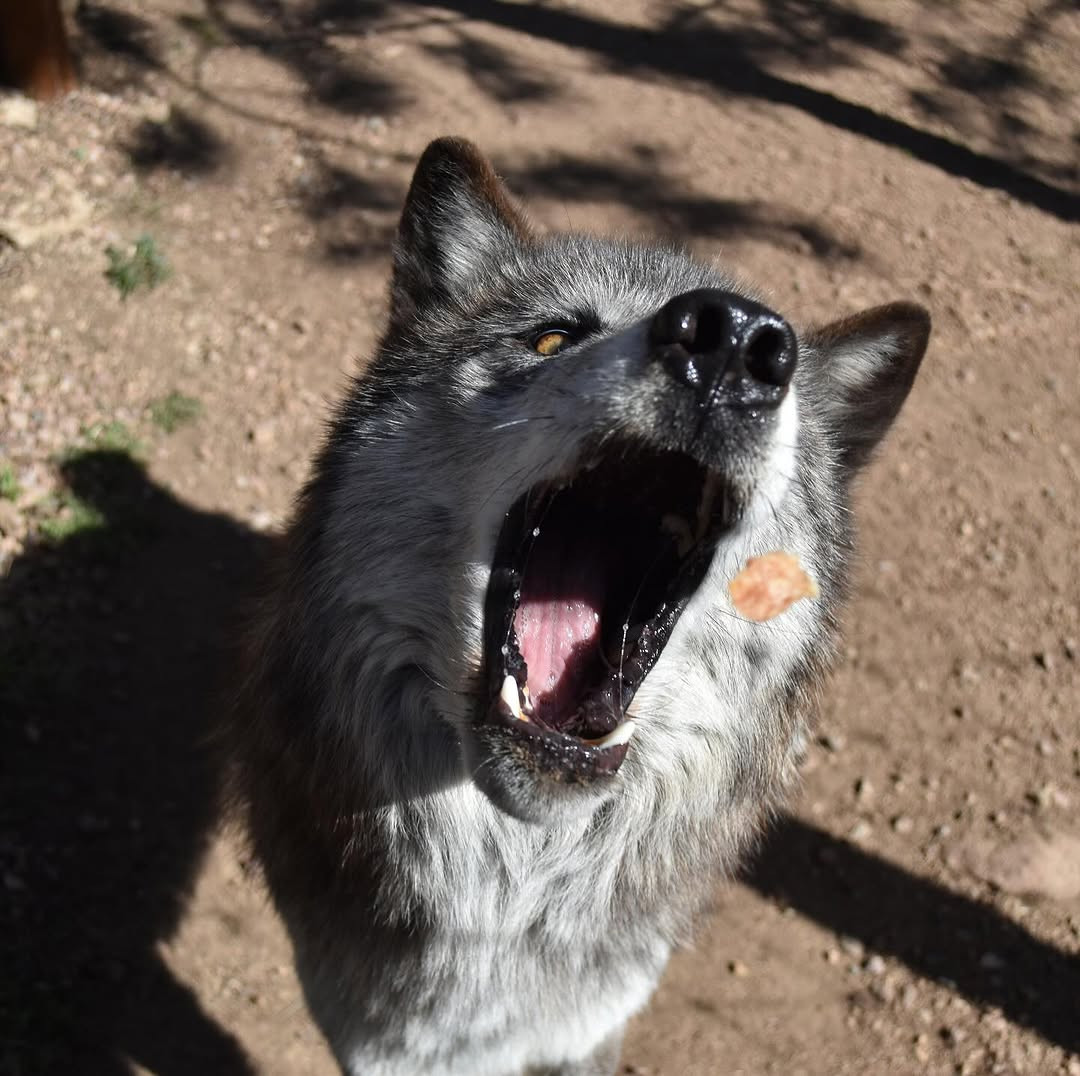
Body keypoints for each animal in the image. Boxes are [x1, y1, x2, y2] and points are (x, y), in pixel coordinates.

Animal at [225, 137, 929, 1076]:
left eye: (765, 348)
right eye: (554, 335)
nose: (733, 339)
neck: (506, 897)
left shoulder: (592, 1027)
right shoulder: (375, 1042)